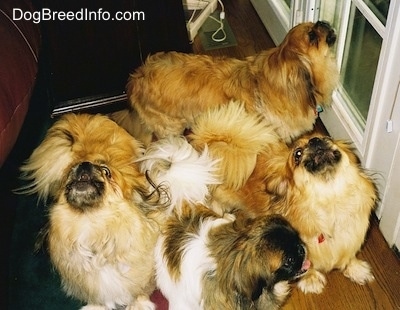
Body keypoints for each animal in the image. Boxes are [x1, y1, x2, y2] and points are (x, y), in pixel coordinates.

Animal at [17, 114, 161, 310]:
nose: (83, 165)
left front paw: (139, 304)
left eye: (106, 172)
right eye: (70, 172)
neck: (91, 224)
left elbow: (140, 291)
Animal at [189, 103, 380, 294]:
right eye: (297, 154)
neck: (332, 200)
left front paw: (356, 269)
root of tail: (212, 142)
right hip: (220, 197)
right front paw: (311, 279)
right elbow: (306, 264)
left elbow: (348, 257)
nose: (315, 141)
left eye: (327, 138)